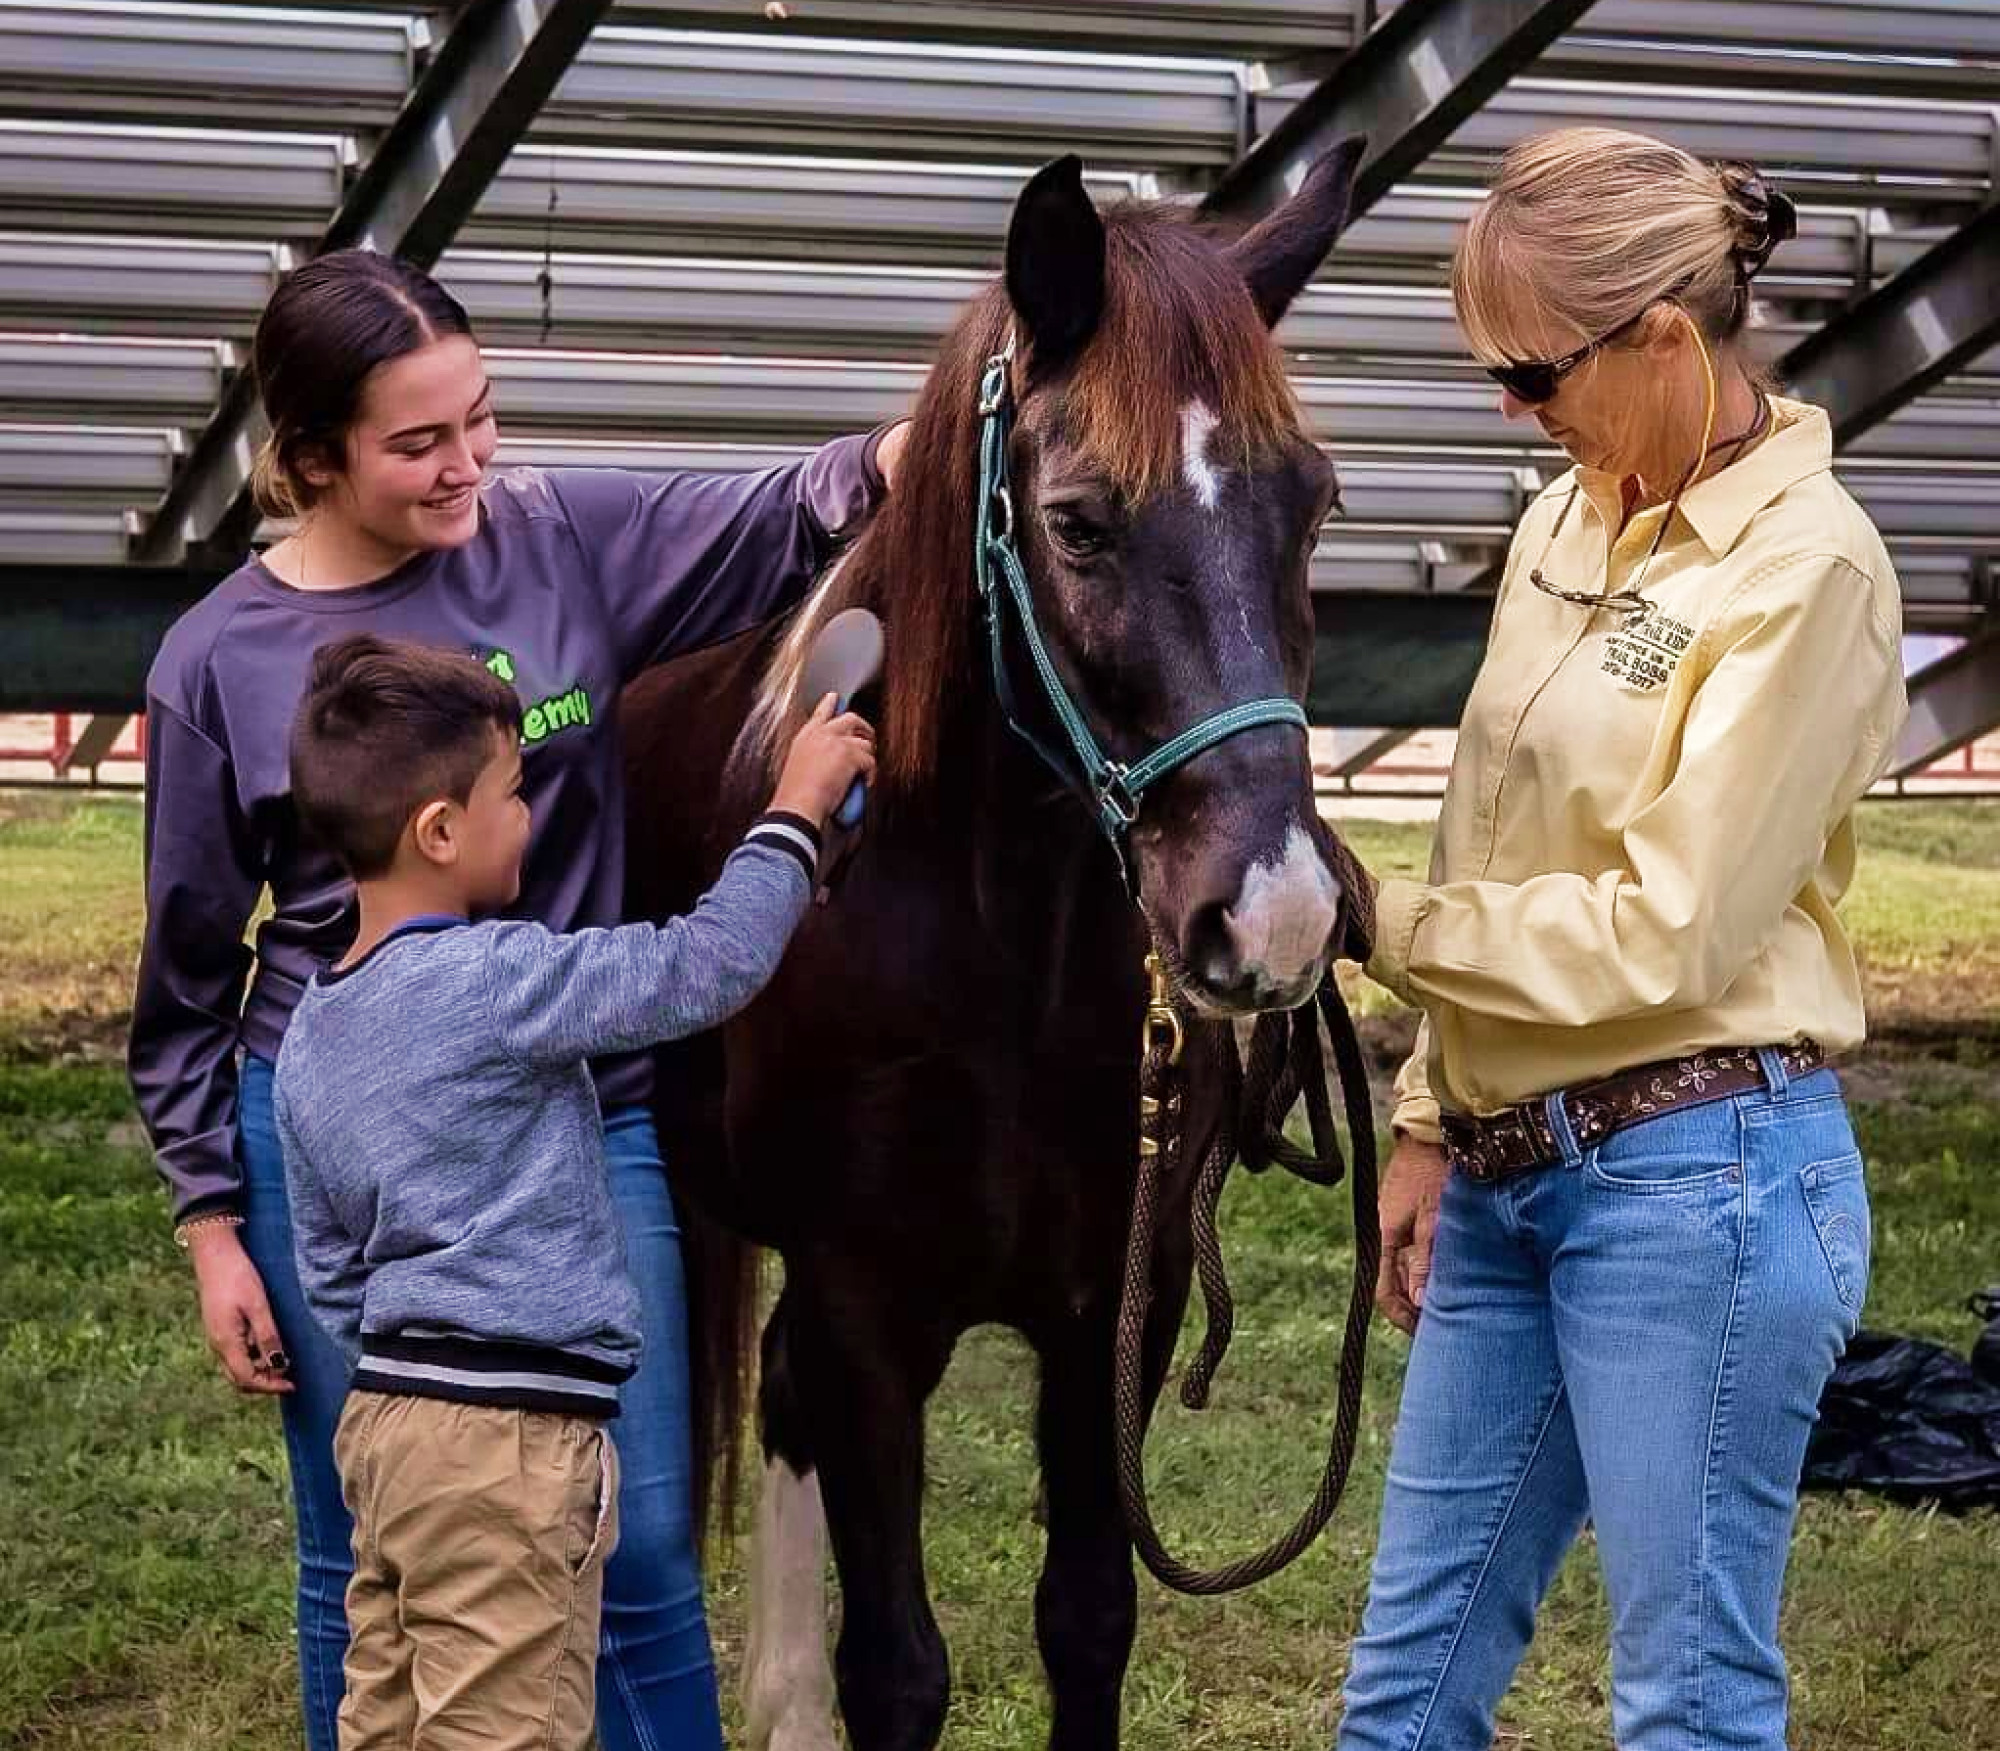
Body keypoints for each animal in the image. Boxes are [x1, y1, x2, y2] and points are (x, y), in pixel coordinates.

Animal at [624, 143, 1376, 1743]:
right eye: (1080, 519)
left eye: (1313, 507)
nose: (1274, 913)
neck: (996, 965)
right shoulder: (863, 1310)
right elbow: (899, 1666)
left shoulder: (1113, 1312)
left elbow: (1087, 1617)